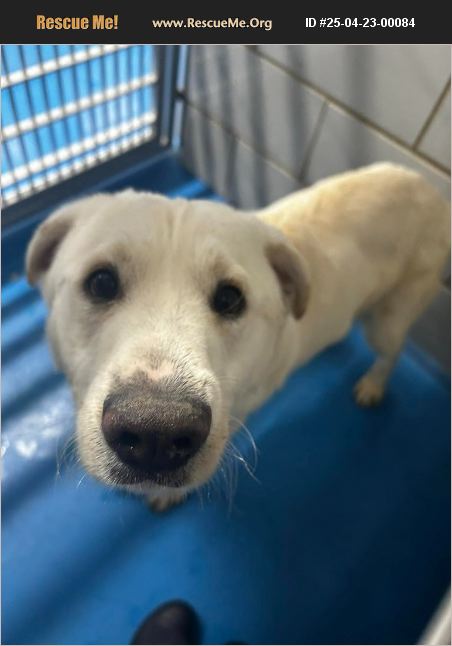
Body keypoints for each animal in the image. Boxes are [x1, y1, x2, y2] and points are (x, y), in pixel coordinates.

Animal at [26, 163, 450, 510]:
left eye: (230, 298)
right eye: (101, 283)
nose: (156, 433)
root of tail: (427, 185)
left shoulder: (235, 415)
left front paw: (167, 494)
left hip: (389, 321)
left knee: (391, 352)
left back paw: (374, 385)